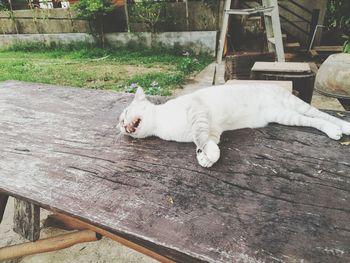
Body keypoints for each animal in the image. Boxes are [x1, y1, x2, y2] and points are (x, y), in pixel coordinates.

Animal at [118, 84, 350, 168]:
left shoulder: (197, 112)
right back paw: (335, 130)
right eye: (120, 121)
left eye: (125, 115)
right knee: (314, 120)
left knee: (320, 114)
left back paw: (343, 127)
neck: (161, 126)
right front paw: (205, 157)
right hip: (285, 115)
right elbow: (209, 143)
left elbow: (200, 138)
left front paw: (206, 155)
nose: (120, 126)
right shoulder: (213, 130)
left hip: (295, 106)